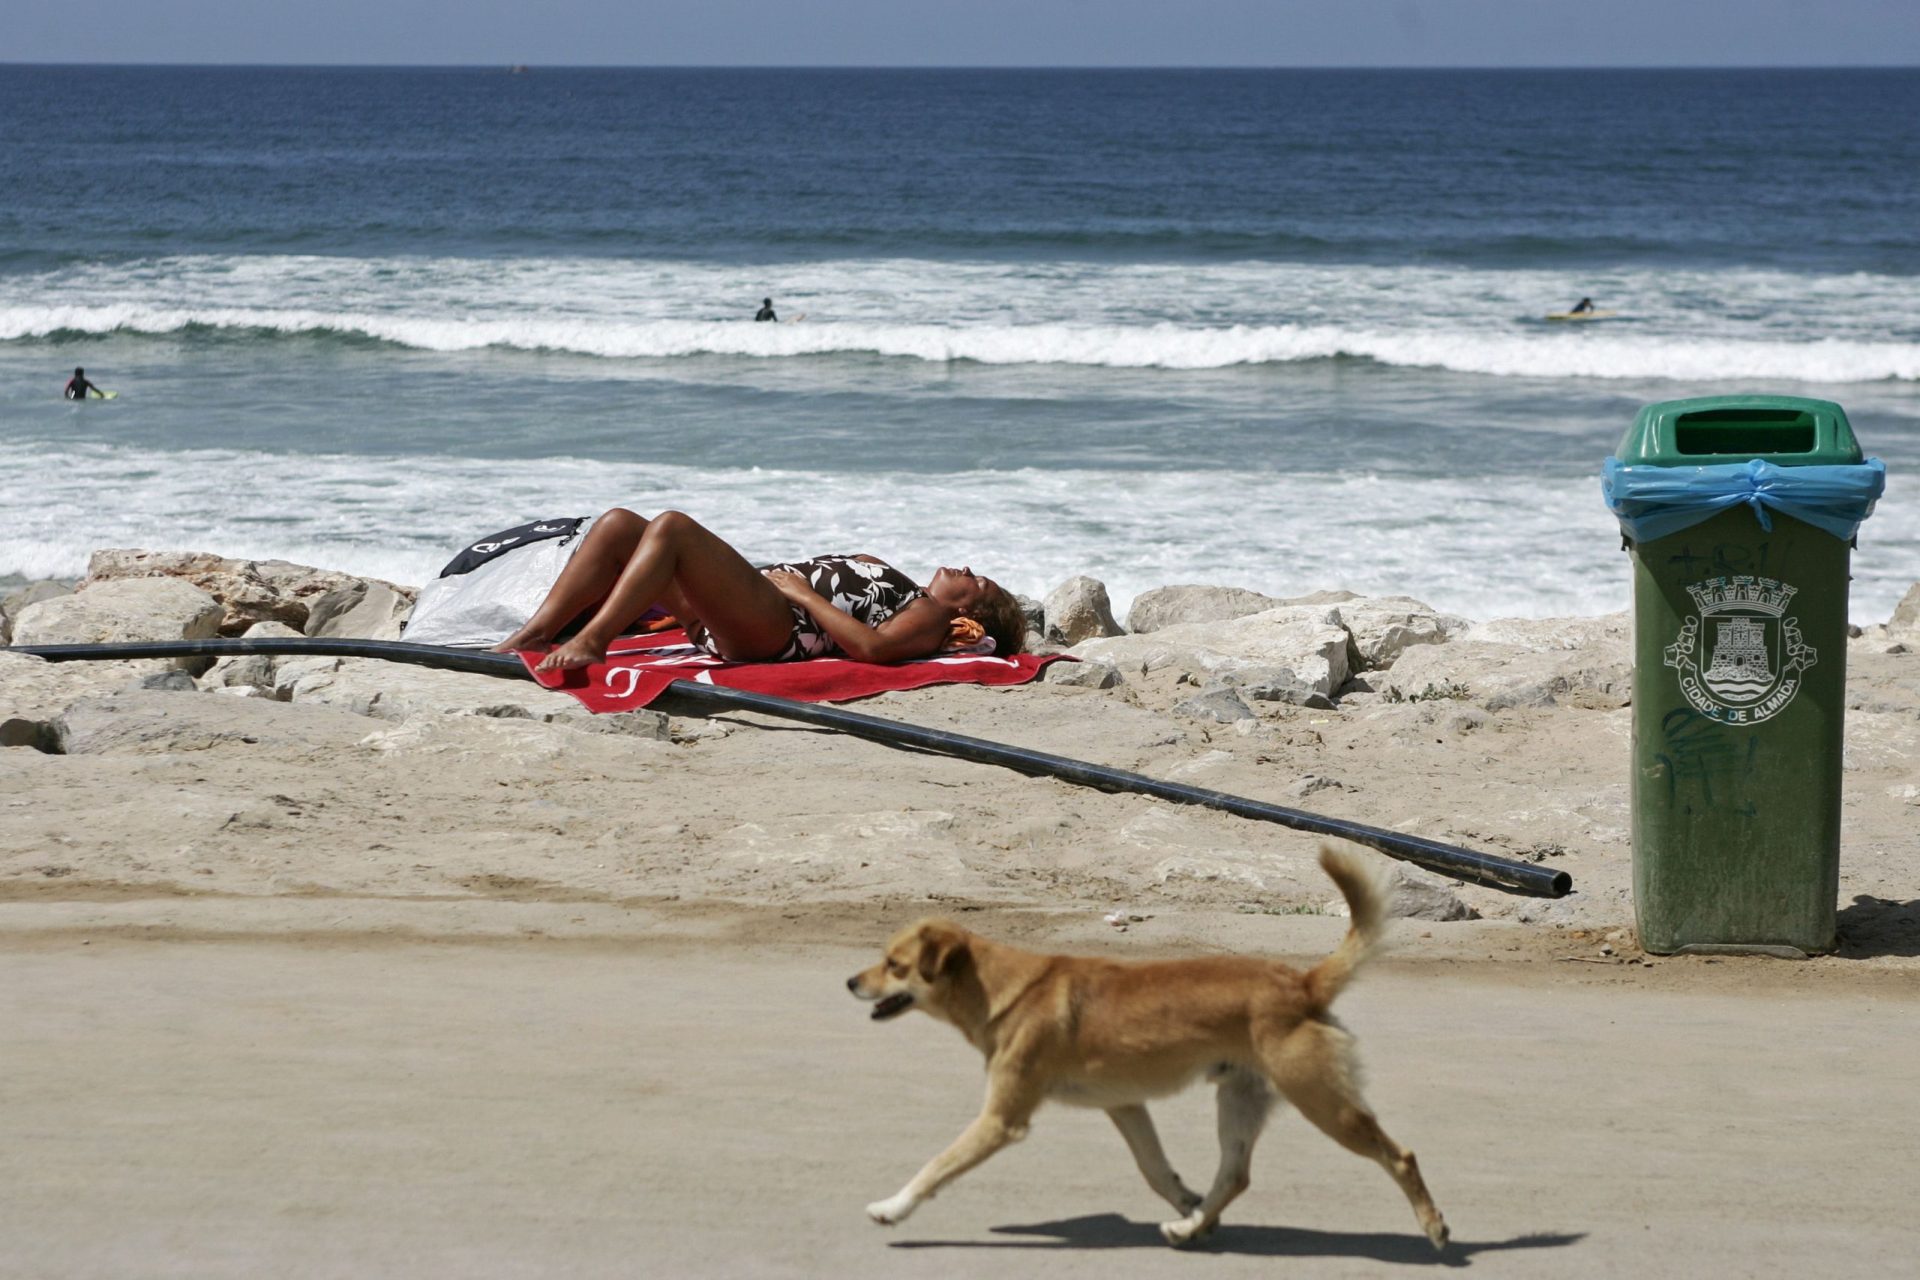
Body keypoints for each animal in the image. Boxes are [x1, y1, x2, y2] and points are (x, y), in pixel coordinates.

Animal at [848, 844, 1443, 1243]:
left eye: (894, 965)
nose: (851, 982)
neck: (1003, 988)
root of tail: (1302, 983)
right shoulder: (1125, 1105)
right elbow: (1154, 1169)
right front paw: (1183, 1199)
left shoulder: (1002, 1121)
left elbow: (935, 1167)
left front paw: (892, 1208)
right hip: (1240, 1102)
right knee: (1235, 1175)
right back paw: (1191, 1227)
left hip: (1324, 1103)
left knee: (1402, 1156)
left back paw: (1434, 1227)